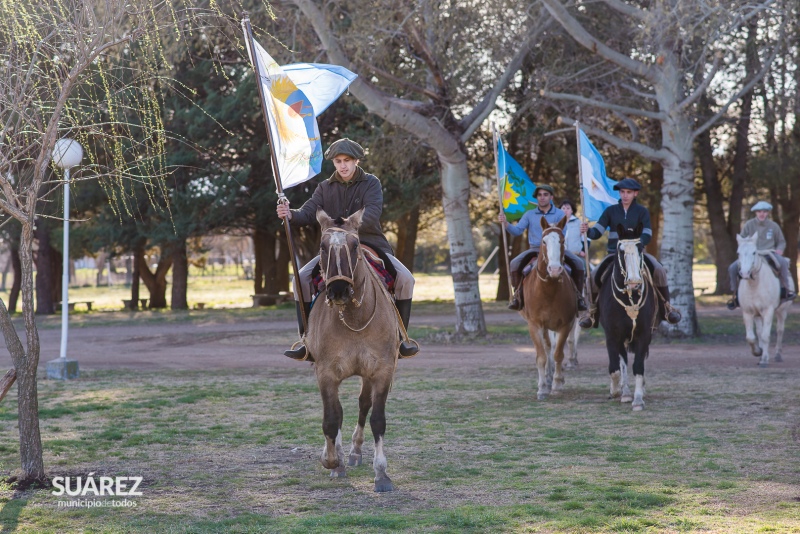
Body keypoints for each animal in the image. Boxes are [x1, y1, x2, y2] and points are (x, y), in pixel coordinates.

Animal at [306, 208, 406, 494]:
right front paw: (331, 460)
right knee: (338, 412)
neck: (353, 318)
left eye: (354, 246)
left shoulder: (382, 371)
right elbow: (331, 418)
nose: (339, 289)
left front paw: (381, 473)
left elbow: (377, 419)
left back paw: (355, 451)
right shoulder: (326, 373)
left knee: (363, 405)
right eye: (322, 247)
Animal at [520, 216, 576, 400]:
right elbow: (541, 357)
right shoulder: (535, 325)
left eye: (562, 240)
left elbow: (558, 354)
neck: (549, 289)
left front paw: (557, 384)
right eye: (544, 241)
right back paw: (547, 376)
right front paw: (542, 388)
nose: (555, 269)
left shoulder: (566, 324)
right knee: (547, 347)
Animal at [596, 224, 660, 412]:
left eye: (640, 248)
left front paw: (638, 400)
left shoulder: (644, 334)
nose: (633, 282)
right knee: (622, 362)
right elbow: (616, 368)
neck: (629, 297)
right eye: (621, 250)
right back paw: (624, 392)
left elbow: (638, 365)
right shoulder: (612, 335)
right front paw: (616, 391)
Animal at [736, 234, 792, 368]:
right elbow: (751, 337)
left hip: (782, 311)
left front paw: (764, 360)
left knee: (780, 331)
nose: (744, 273)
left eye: (754, 252)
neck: (754, 285)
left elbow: (766, 336)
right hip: (757, 315)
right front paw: (758, 352)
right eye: (738, 253)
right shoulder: (747, 312)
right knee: (759, 332)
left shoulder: (768, 311)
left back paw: (777, 355)